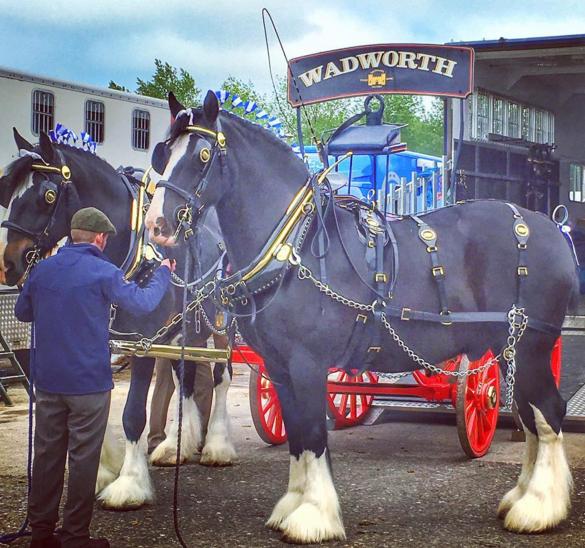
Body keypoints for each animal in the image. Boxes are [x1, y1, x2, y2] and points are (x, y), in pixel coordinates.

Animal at [145, 93, 576, 544]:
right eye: (163, 153)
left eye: (202, 154)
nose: (156, 225)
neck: (294, 246)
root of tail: (553, 229)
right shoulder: (279, 367)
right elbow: (296, 433)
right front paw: (292, 505)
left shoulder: (307, 363)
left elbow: (314, 433)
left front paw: (313, 516)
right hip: (508, 349)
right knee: (531, 416)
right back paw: (522, 498)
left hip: (529, 347)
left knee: (547, 412)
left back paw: (539, 508)